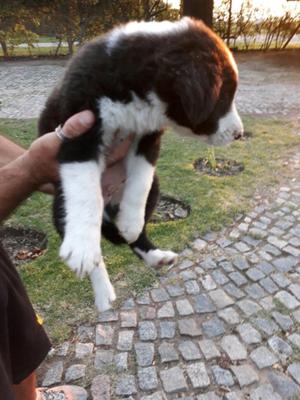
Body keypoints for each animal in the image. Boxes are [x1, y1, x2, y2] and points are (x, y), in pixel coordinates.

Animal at [38, 17, 244, 310]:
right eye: (224, 98)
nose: (239, 134)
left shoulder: (149, 136)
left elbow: (141, 180)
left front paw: (131, 222)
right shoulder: (78, 129)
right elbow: (86, 192)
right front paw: (82, 249)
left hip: (156, 188)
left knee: (136, 231)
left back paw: (154, 254)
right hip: (59, 204)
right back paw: (103, 291)